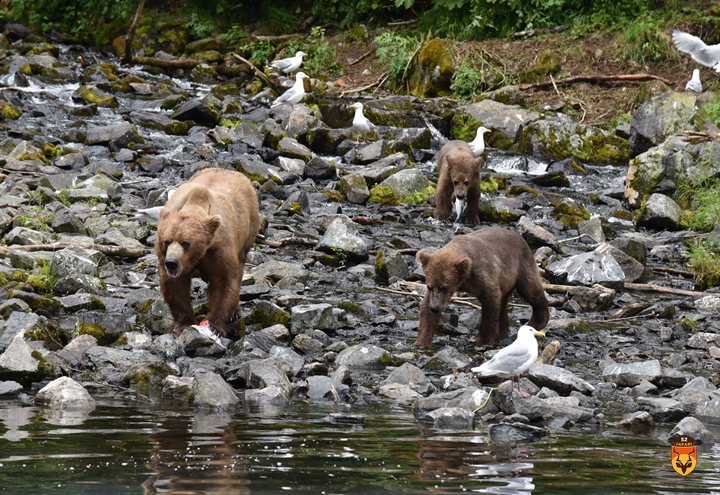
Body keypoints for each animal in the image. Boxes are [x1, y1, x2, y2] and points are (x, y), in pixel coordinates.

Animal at [156, 170, 260, 338]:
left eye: (186, 243)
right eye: (166, 241)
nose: (171, 262)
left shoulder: (218, 251)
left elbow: (224, 280)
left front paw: (214, 325)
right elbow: (175, 286)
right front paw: (184, 324)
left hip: (248, 229)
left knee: (239, 268)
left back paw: (234, 311)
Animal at [414, 227, 548, 346]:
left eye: (445, 287)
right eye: (429, 286)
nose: (435, 308)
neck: (464, 278)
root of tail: (520, 238)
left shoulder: (482, 273)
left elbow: (490, 301)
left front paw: (480, 340)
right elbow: (426, 310)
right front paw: (421, 342)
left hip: (521, 266)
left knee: (530, 290)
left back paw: (536, 321)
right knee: (503, 303)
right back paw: (501, 333)